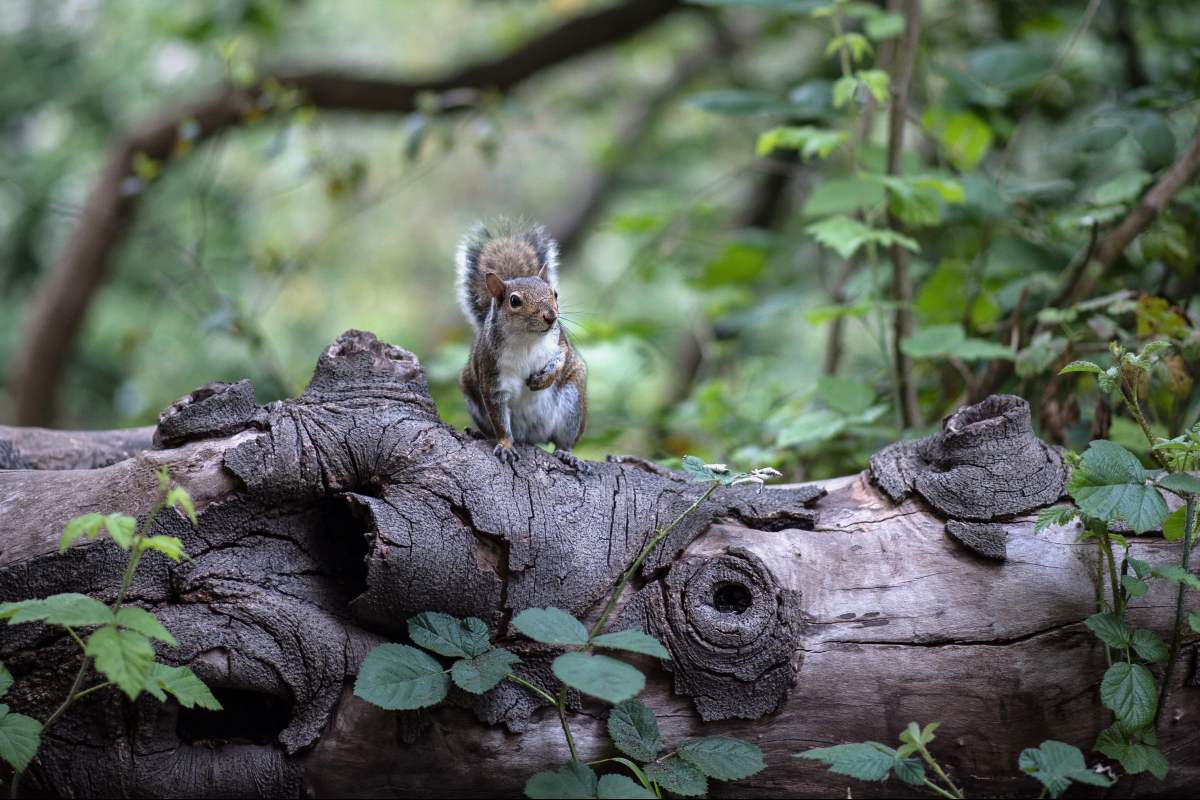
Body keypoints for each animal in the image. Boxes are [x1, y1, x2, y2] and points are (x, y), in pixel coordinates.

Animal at [453, 220, 590, 470]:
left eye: (555, 293)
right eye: (515, 301)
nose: (551, 316)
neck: (527, 339)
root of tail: (533, 436)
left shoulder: (559, 342)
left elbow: (561, 357)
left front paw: (543, 379)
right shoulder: (492, 377)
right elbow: (500, 422)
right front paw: (506, 445)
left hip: (573, 403)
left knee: (564, 441)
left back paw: (568, 455)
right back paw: (481, 434)